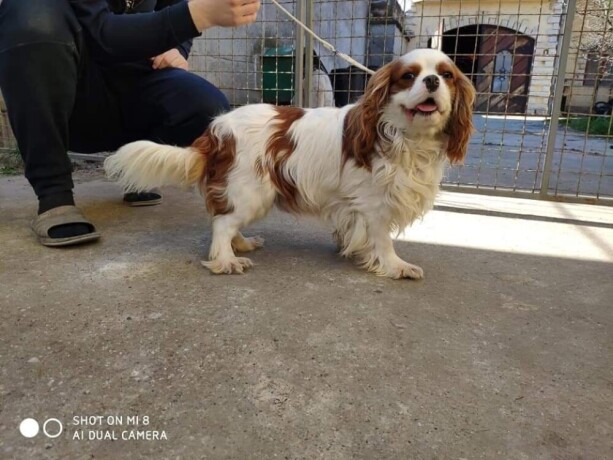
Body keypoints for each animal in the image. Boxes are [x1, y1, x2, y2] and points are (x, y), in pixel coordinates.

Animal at [105, 48, 476, 278]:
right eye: (409, 76)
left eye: (447, 75)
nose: (432, 81)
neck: (405, 136)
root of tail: (215, 129)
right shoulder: (373, 205)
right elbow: (383, 239)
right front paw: (396, 266)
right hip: (251, 191)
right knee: (222, 224)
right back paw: (226, 260)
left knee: (226, 221)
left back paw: (241, 244)